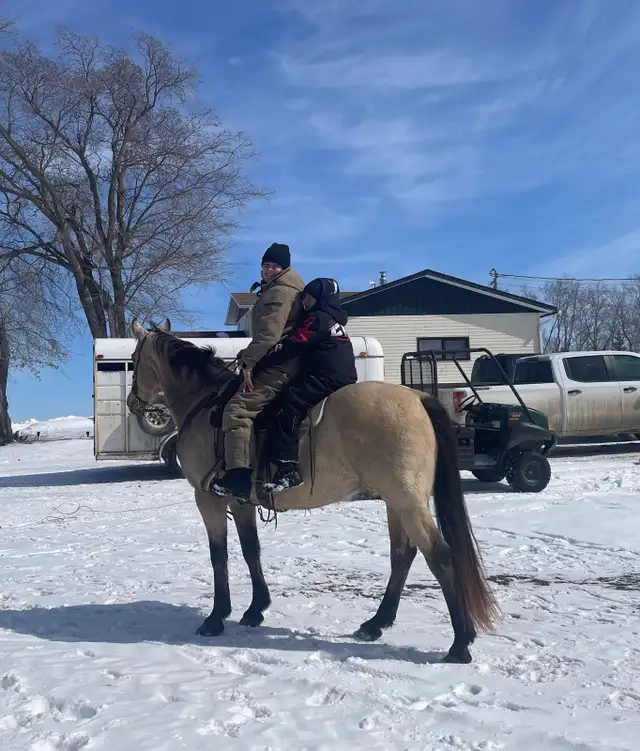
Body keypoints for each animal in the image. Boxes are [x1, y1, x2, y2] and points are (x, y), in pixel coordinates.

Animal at [127, 318, 500, 663]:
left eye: (133, 358)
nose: (133, 402)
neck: (205, 404)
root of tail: (418, 397)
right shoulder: (241, 501)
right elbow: (251, 550)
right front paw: (255, 609)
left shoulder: (209, 499)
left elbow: (219, 555)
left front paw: (216, 617)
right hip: (397, 502)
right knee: (403, 555)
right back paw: (376, 623)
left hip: (407, 502)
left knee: (441, 557)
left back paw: (459, 644)